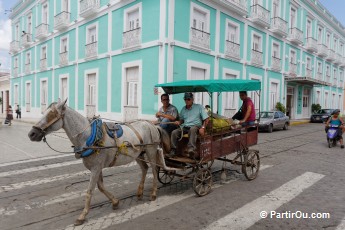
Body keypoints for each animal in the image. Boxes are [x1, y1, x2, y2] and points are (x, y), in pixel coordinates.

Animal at [27, 98, 169, 225]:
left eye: (51, 114)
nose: (31, 134)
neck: (89, 136)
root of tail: (152, 125)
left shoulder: (96, 168)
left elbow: (90, 191)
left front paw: (83, 215)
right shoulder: (97, 167)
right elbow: (100, 187)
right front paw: (115, 202)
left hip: (151, 151)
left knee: (154, 170)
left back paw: (153, 193)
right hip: (138, 155)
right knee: (145, 168)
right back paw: (139, 192)